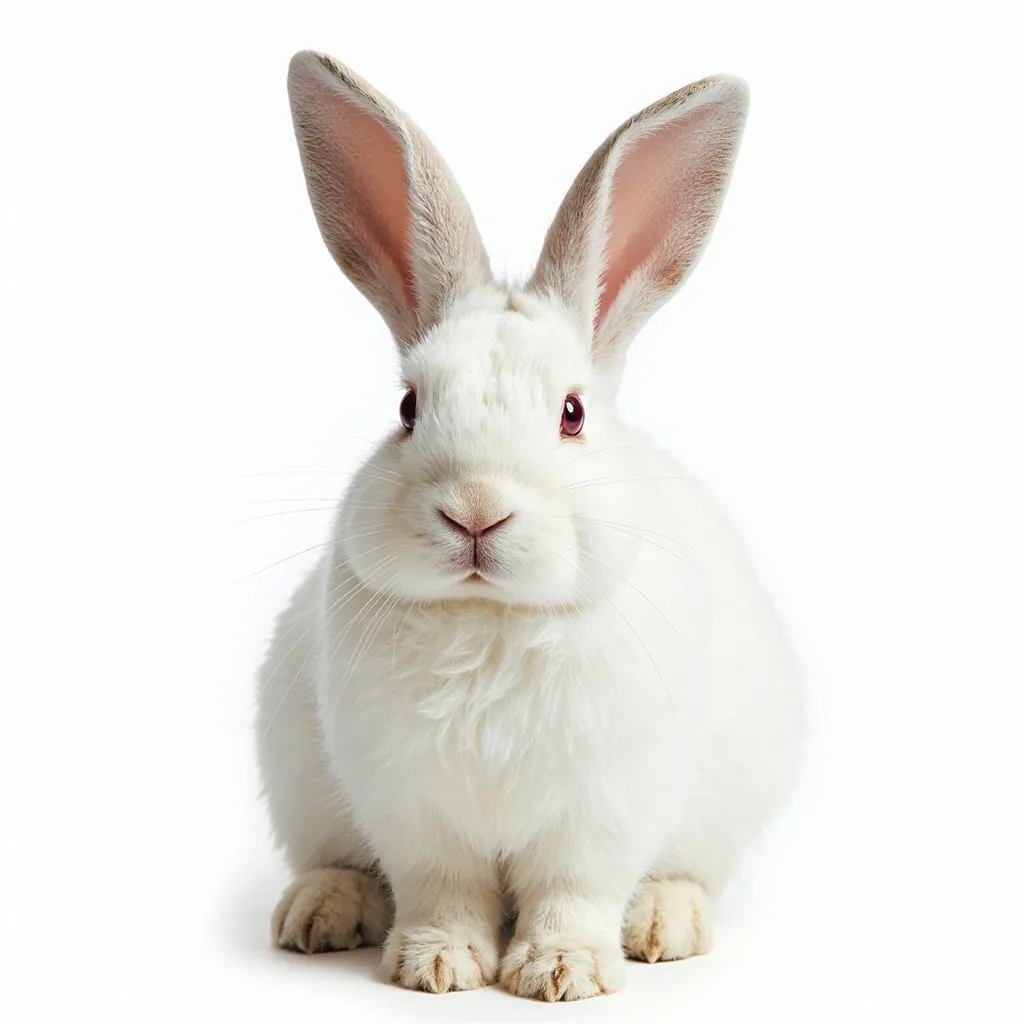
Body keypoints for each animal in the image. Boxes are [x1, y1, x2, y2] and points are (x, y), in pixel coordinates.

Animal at [256, 50, 804, 1002]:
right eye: (408, 408)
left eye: (572, 414)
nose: (476, 510)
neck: (492, 618)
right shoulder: (413, 808)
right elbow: (441, 889)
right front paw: (436, 965)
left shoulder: (601, 812)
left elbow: (571, 892)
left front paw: (562, 972)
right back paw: (320, 911)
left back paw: (663, 923)